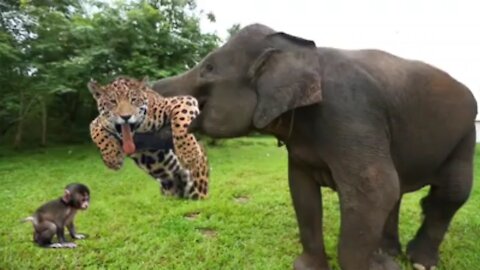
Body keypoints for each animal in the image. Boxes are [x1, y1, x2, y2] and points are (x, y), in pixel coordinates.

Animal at [150, 23, 476, 270]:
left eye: (208, 68)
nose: (149, 86)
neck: (298, 50)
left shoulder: (351, 111)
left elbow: (374, 190)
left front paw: (377, 267)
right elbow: (301, 189)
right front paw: (310, 267)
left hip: (466, 135)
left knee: (451, 191)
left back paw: (419, 262)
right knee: (399, 194)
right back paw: (389, 253)